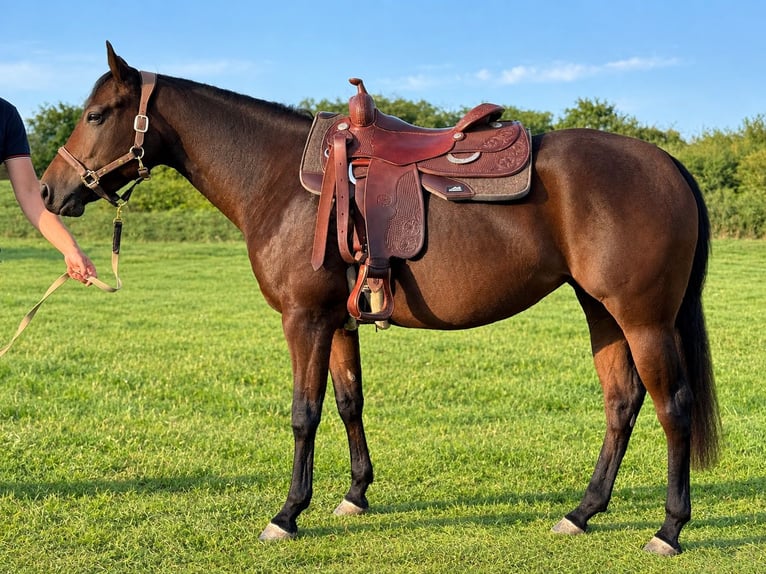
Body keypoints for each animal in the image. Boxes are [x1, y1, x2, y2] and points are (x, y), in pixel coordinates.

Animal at [40, 42, 719, 555]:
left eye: (96, 114)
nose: (48, 191)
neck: (282, 181)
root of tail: (668, 164)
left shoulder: (304, 321)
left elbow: (304, 413)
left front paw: (287, 514)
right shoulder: (337, 323)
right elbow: (348, 403)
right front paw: (355, 495)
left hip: (644, 320)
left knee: (673, 408)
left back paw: (668, 529)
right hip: (602, 312)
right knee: (622, 404)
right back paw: (582, 512)